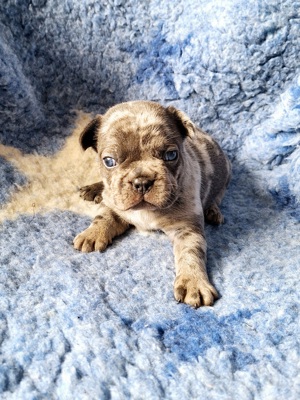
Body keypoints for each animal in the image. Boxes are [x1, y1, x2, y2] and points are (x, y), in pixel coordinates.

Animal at [74, 101, 231, 308]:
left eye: (171, 155)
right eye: (109, 161)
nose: (142, 182)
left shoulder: (187, 228)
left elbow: (191, 252)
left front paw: (193, 282)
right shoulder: (114, 202)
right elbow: (104, 215)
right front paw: (92, 233)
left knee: (217, 197)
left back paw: (213, 212)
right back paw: (94, 189)